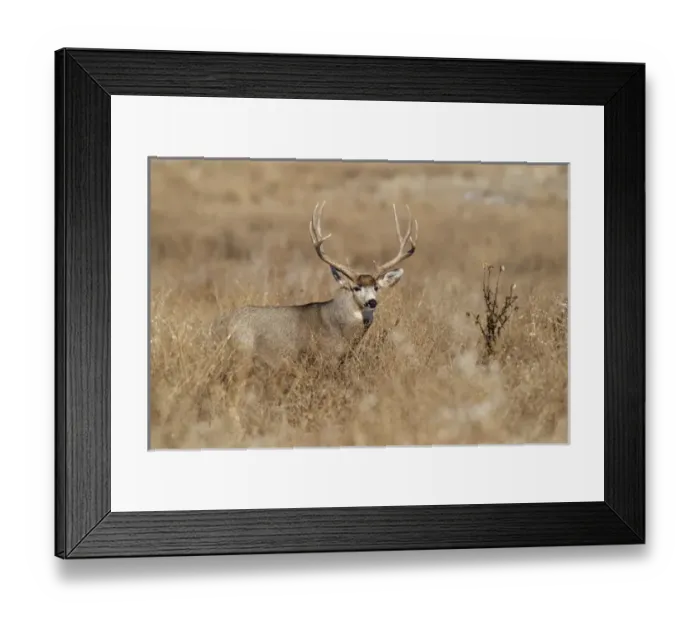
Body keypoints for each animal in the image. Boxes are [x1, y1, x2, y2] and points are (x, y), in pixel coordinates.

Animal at [210, 201, 418, 372]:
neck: (339, 327)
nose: (372, 302)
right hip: (241, 354)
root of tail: (217, 326)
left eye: (376, 287)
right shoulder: (322, 357)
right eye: (356, 288)